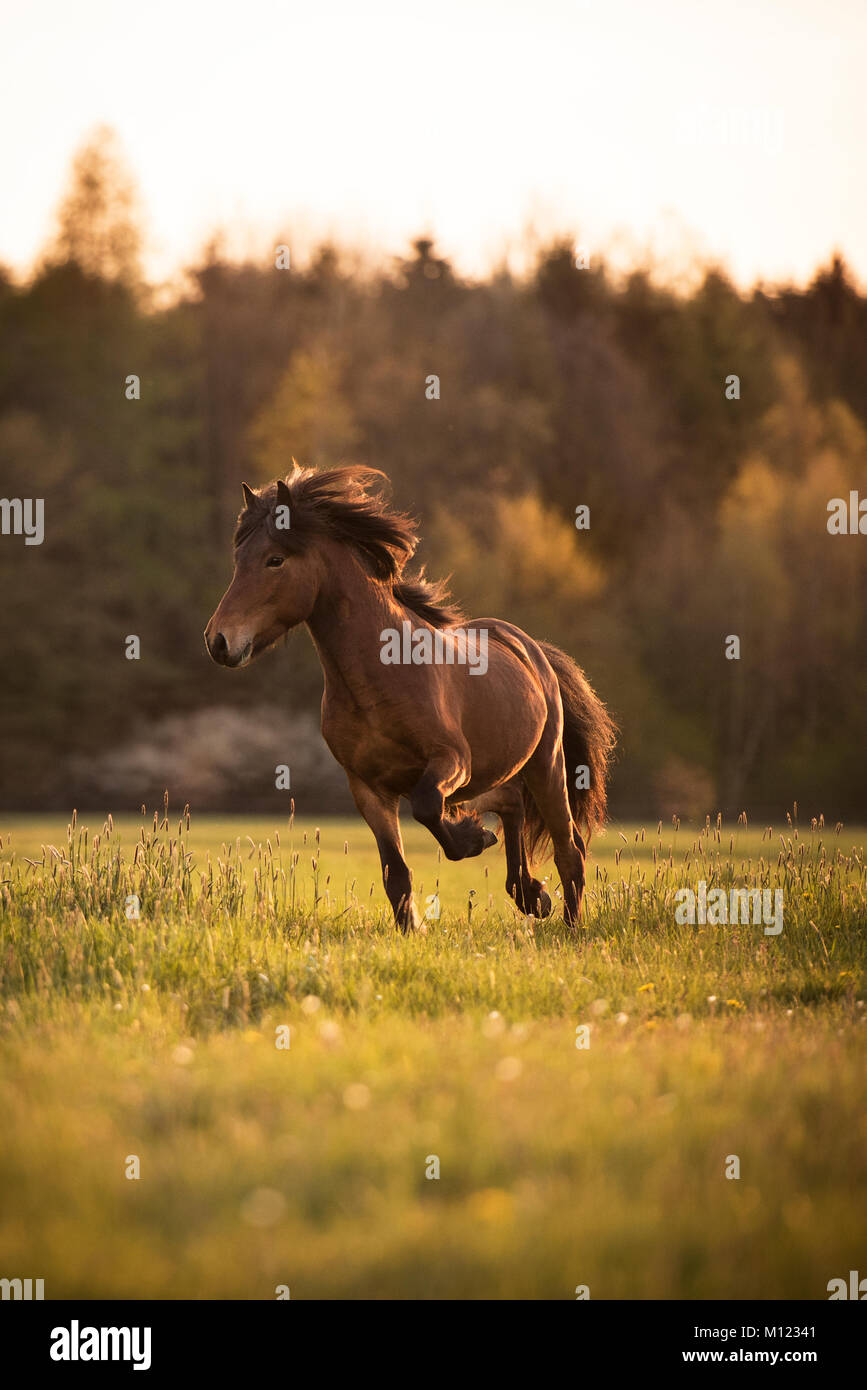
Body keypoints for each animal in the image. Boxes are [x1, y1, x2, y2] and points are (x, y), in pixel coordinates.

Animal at [204, 467, 616, 934]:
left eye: (275, 559)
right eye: (239, 559)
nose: (219, 641)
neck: (382, 675)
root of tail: (531, 649)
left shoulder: (451, 761)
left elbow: (427, 807)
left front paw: (473, 838)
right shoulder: (368, 788)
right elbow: (395, 873)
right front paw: (411, 928)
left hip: (546, 765)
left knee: (570, 850)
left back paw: (569, 924)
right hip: (496, 775)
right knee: (512, 807)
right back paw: (531, 894)